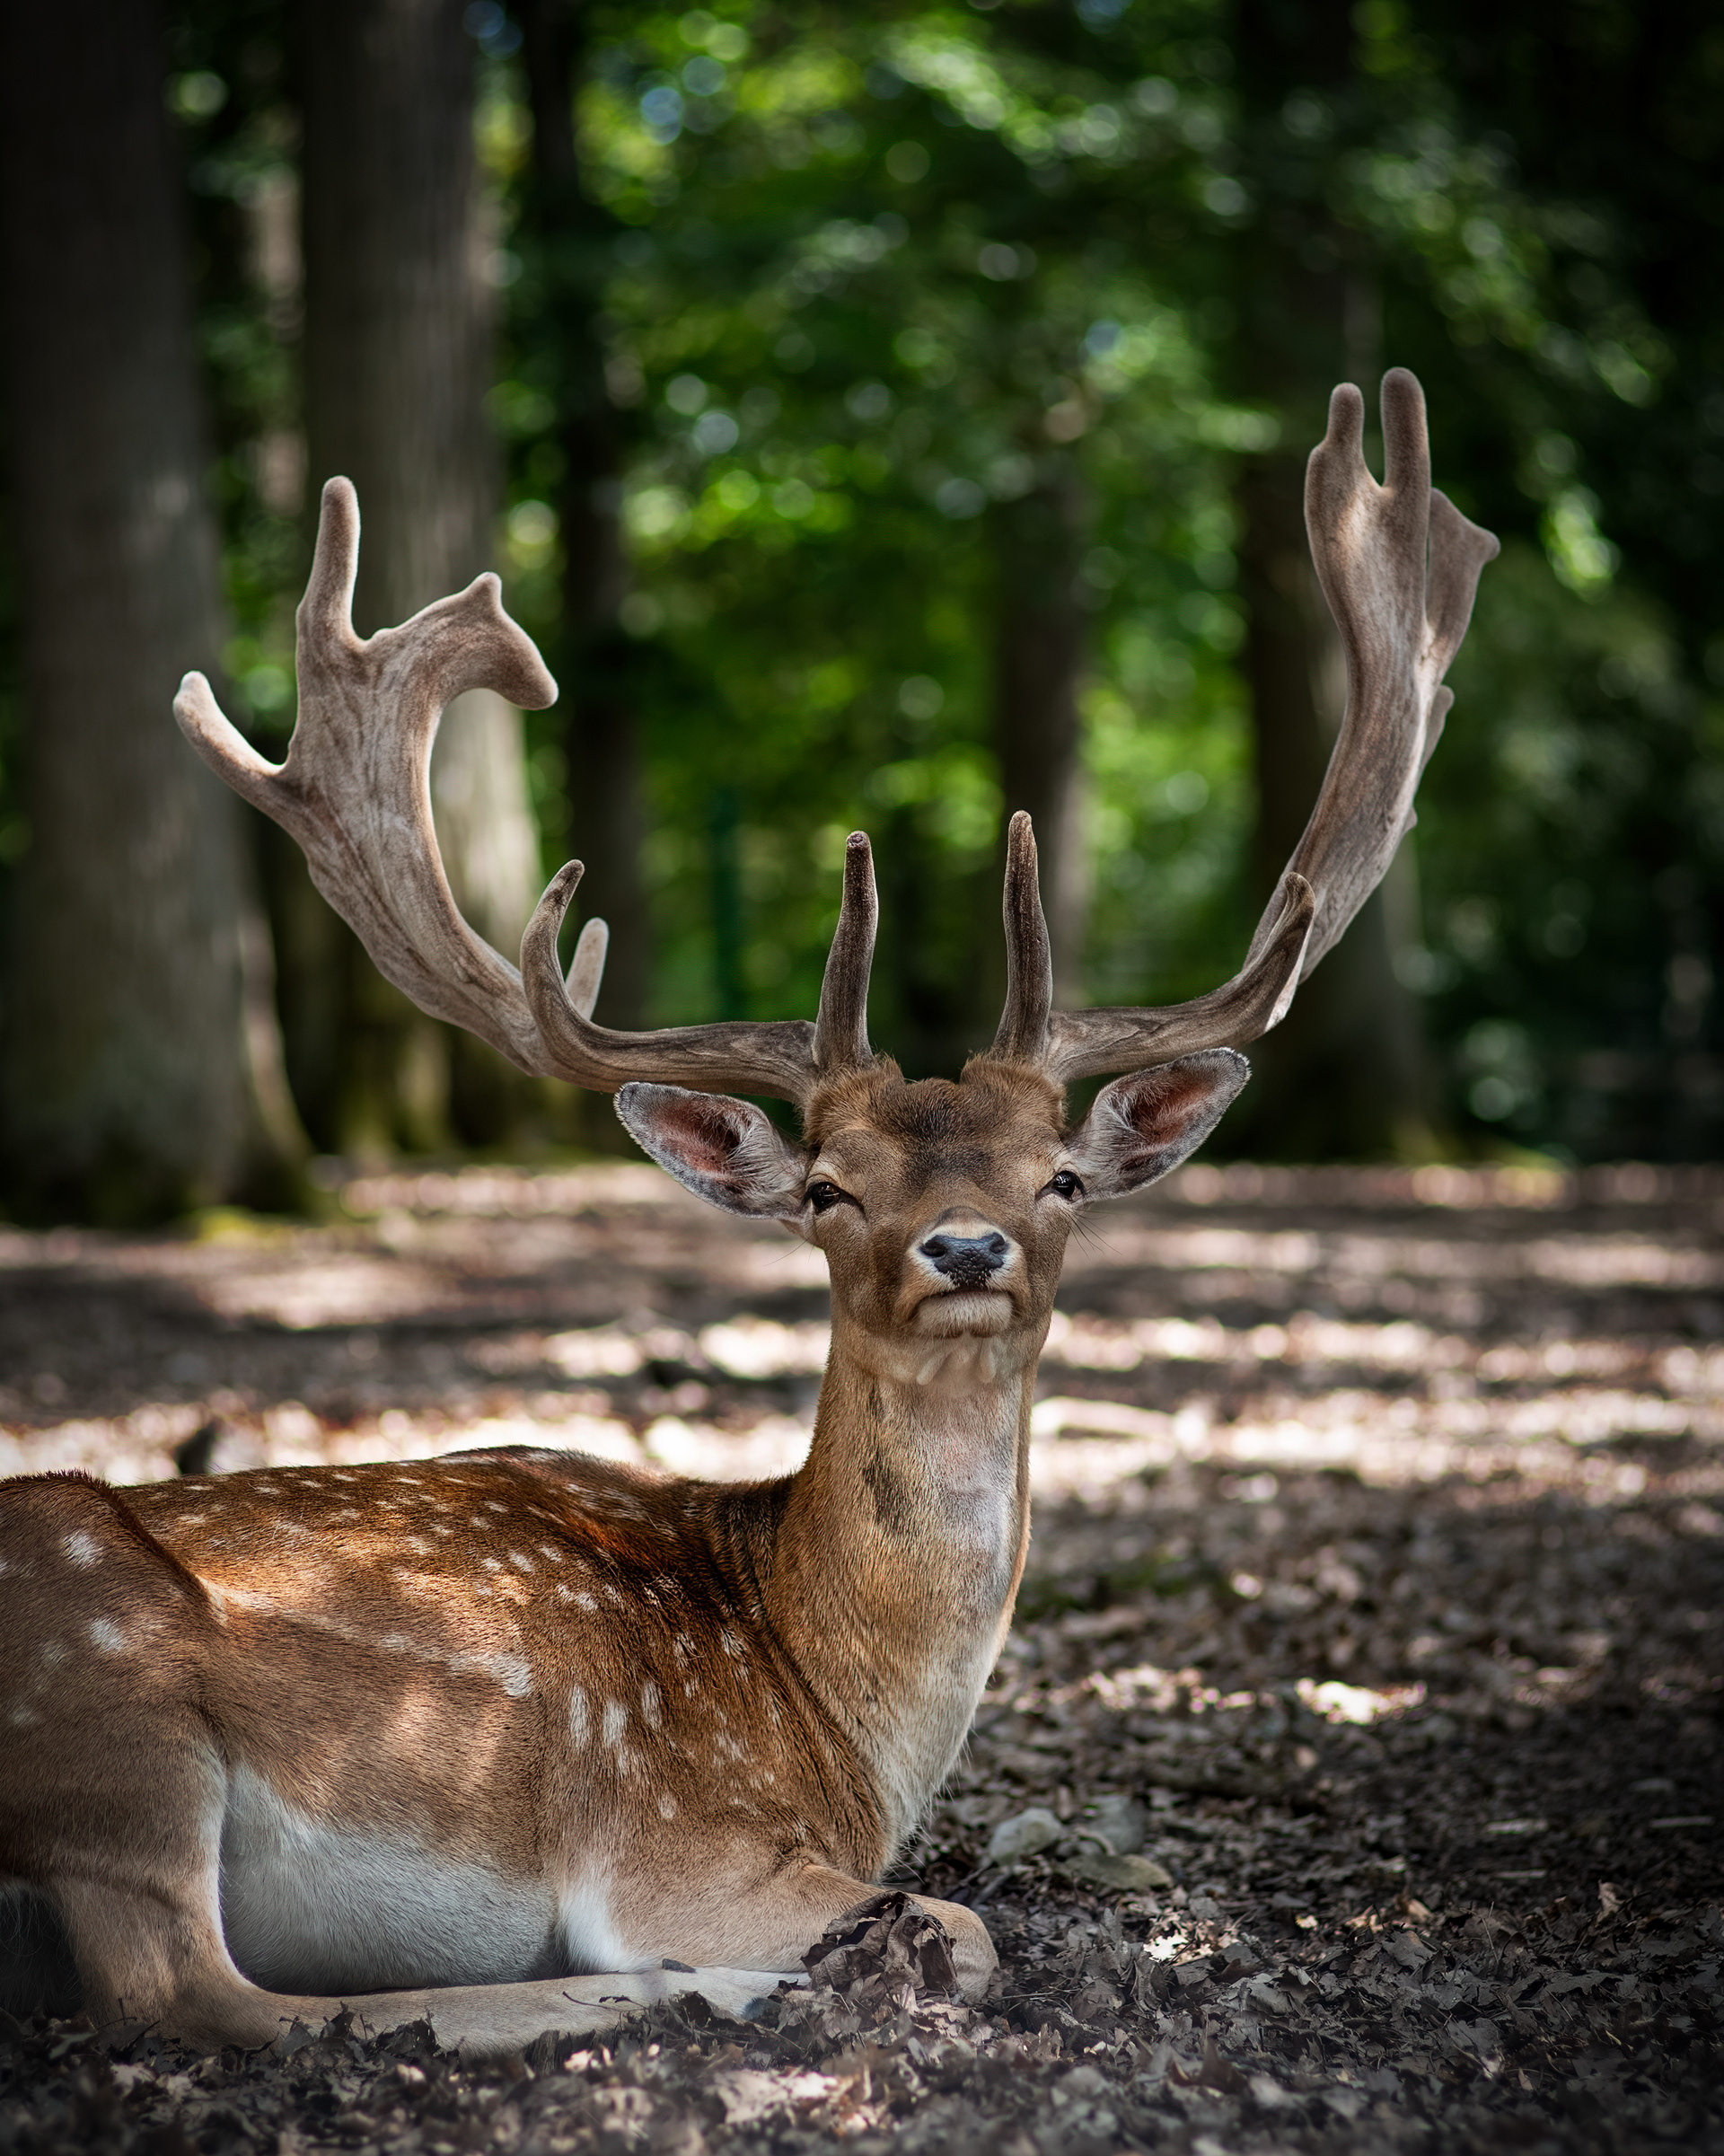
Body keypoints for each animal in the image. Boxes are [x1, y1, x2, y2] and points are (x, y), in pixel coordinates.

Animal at [0, 371, 1495, 2058]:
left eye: (1056, 1173)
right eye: (830, 1187)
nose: (964, 1246)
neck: (837, 1721)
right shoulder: (676, 1834)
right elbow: (967, 1920)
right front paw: (846, 1952)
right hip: (115, 1714)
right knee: (197, 1989)